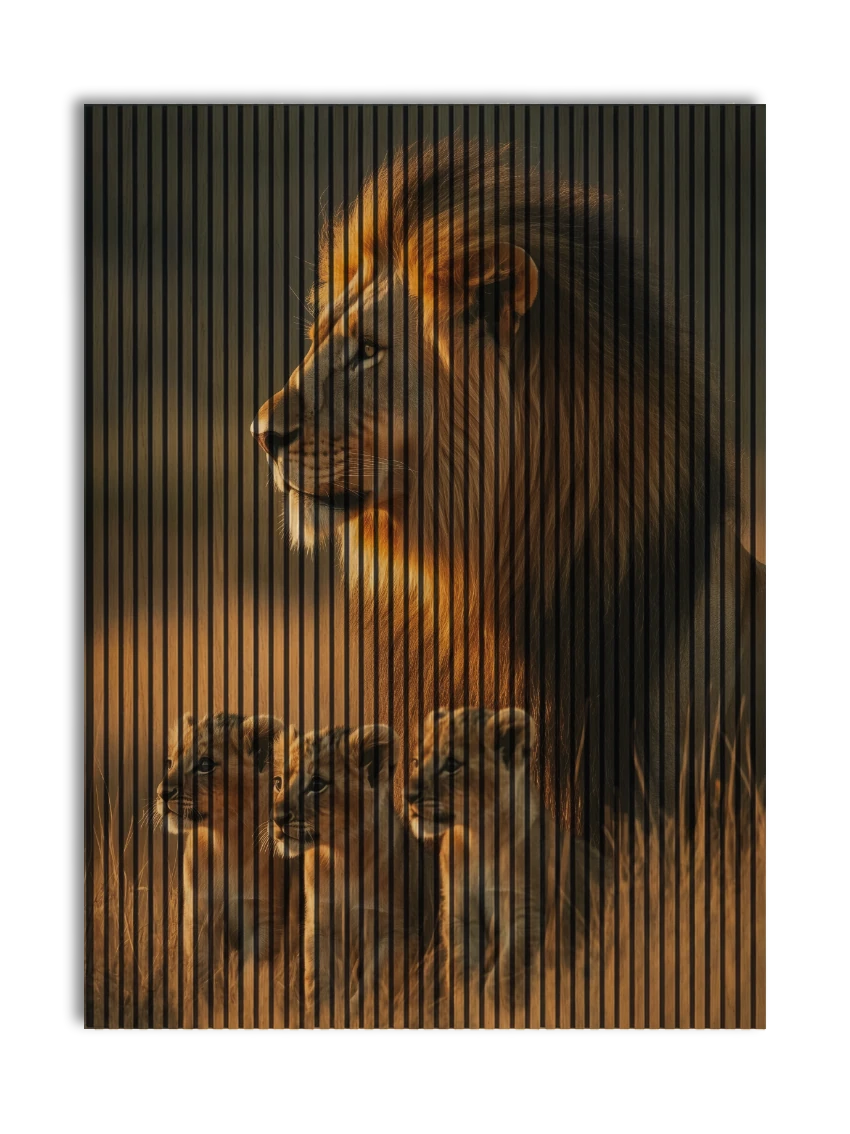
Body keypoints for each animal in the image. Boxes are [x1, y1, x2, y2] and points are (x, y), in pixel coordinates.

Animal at [155, 712, 301, 1019]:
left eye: (205, 765)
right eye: (170, 762)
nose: (163, 793)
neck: (224, 842)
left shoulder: (267, 918)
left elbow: (254, 972)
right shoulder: (199, 914)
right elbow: (202, 972)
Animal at [271, 723, 432, 1028]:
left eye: (317, 784)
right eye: (278, 782)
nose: (277, 818)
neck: (342, 857)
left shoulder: (395, 932)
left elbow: (373, 984)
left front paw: (357, 1015)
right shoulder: (319, 924)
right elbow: (319, 981)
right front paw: (318, 1016)